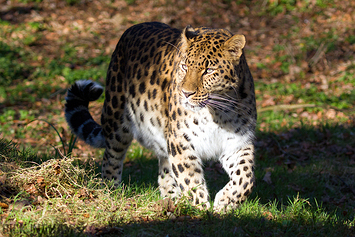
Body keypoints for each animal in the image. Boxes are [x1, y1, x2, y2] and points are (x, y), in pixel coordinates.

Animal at [65, 21, 258, 211]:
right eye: (184, 66)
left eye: (209, 70)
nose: (186, 93)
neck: (217, 112)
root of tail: (133, 27)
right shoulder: (180, 140)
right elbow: (190, 179)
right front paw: (200, 209)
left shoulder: (237, 143)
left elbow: (246, 178)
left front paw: (225, 202)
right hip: (116, 121)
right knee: (111, 158)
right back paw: (110, 192)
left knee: (164, 173)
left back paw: (171, 201)